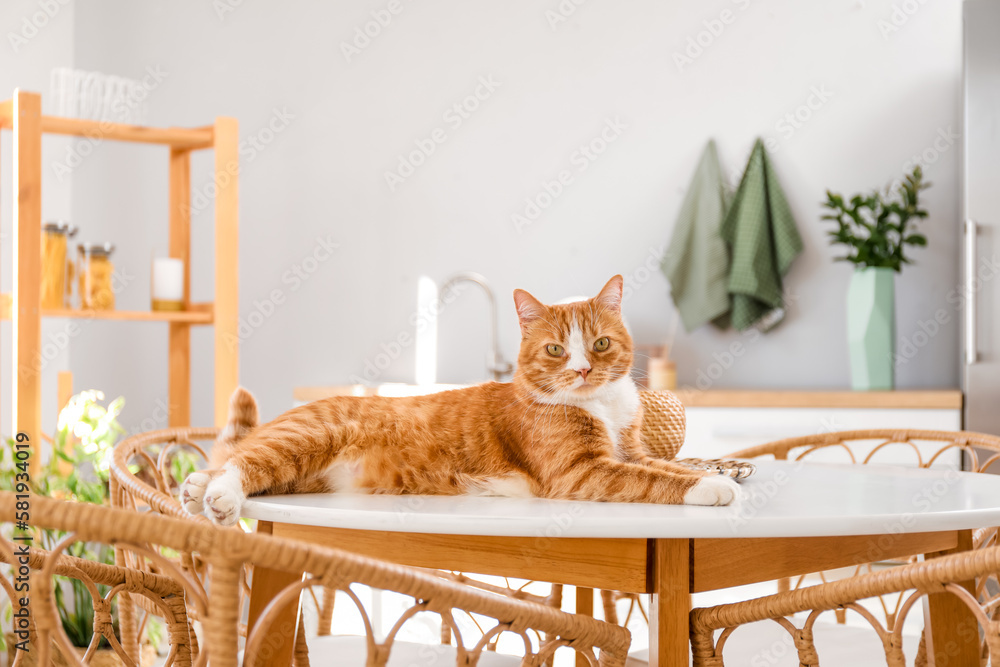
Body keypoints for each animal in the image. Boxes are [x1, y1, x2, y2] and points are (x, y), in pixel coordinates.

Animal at [184, 276, 740, 528]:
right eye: (556, 350)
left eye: (600, 344)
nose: (582, 370)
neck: (600, 403)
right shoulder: (582, 471)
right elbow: (652, 480)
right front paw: (712, 487)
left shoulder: (632, 449)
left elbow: (663, 465)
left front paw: (715, 473)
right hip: (309, 437)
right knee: (240, 463)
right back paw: (218, 498)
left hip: (304, 474)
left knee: (232, 461)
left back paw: (195, 488)